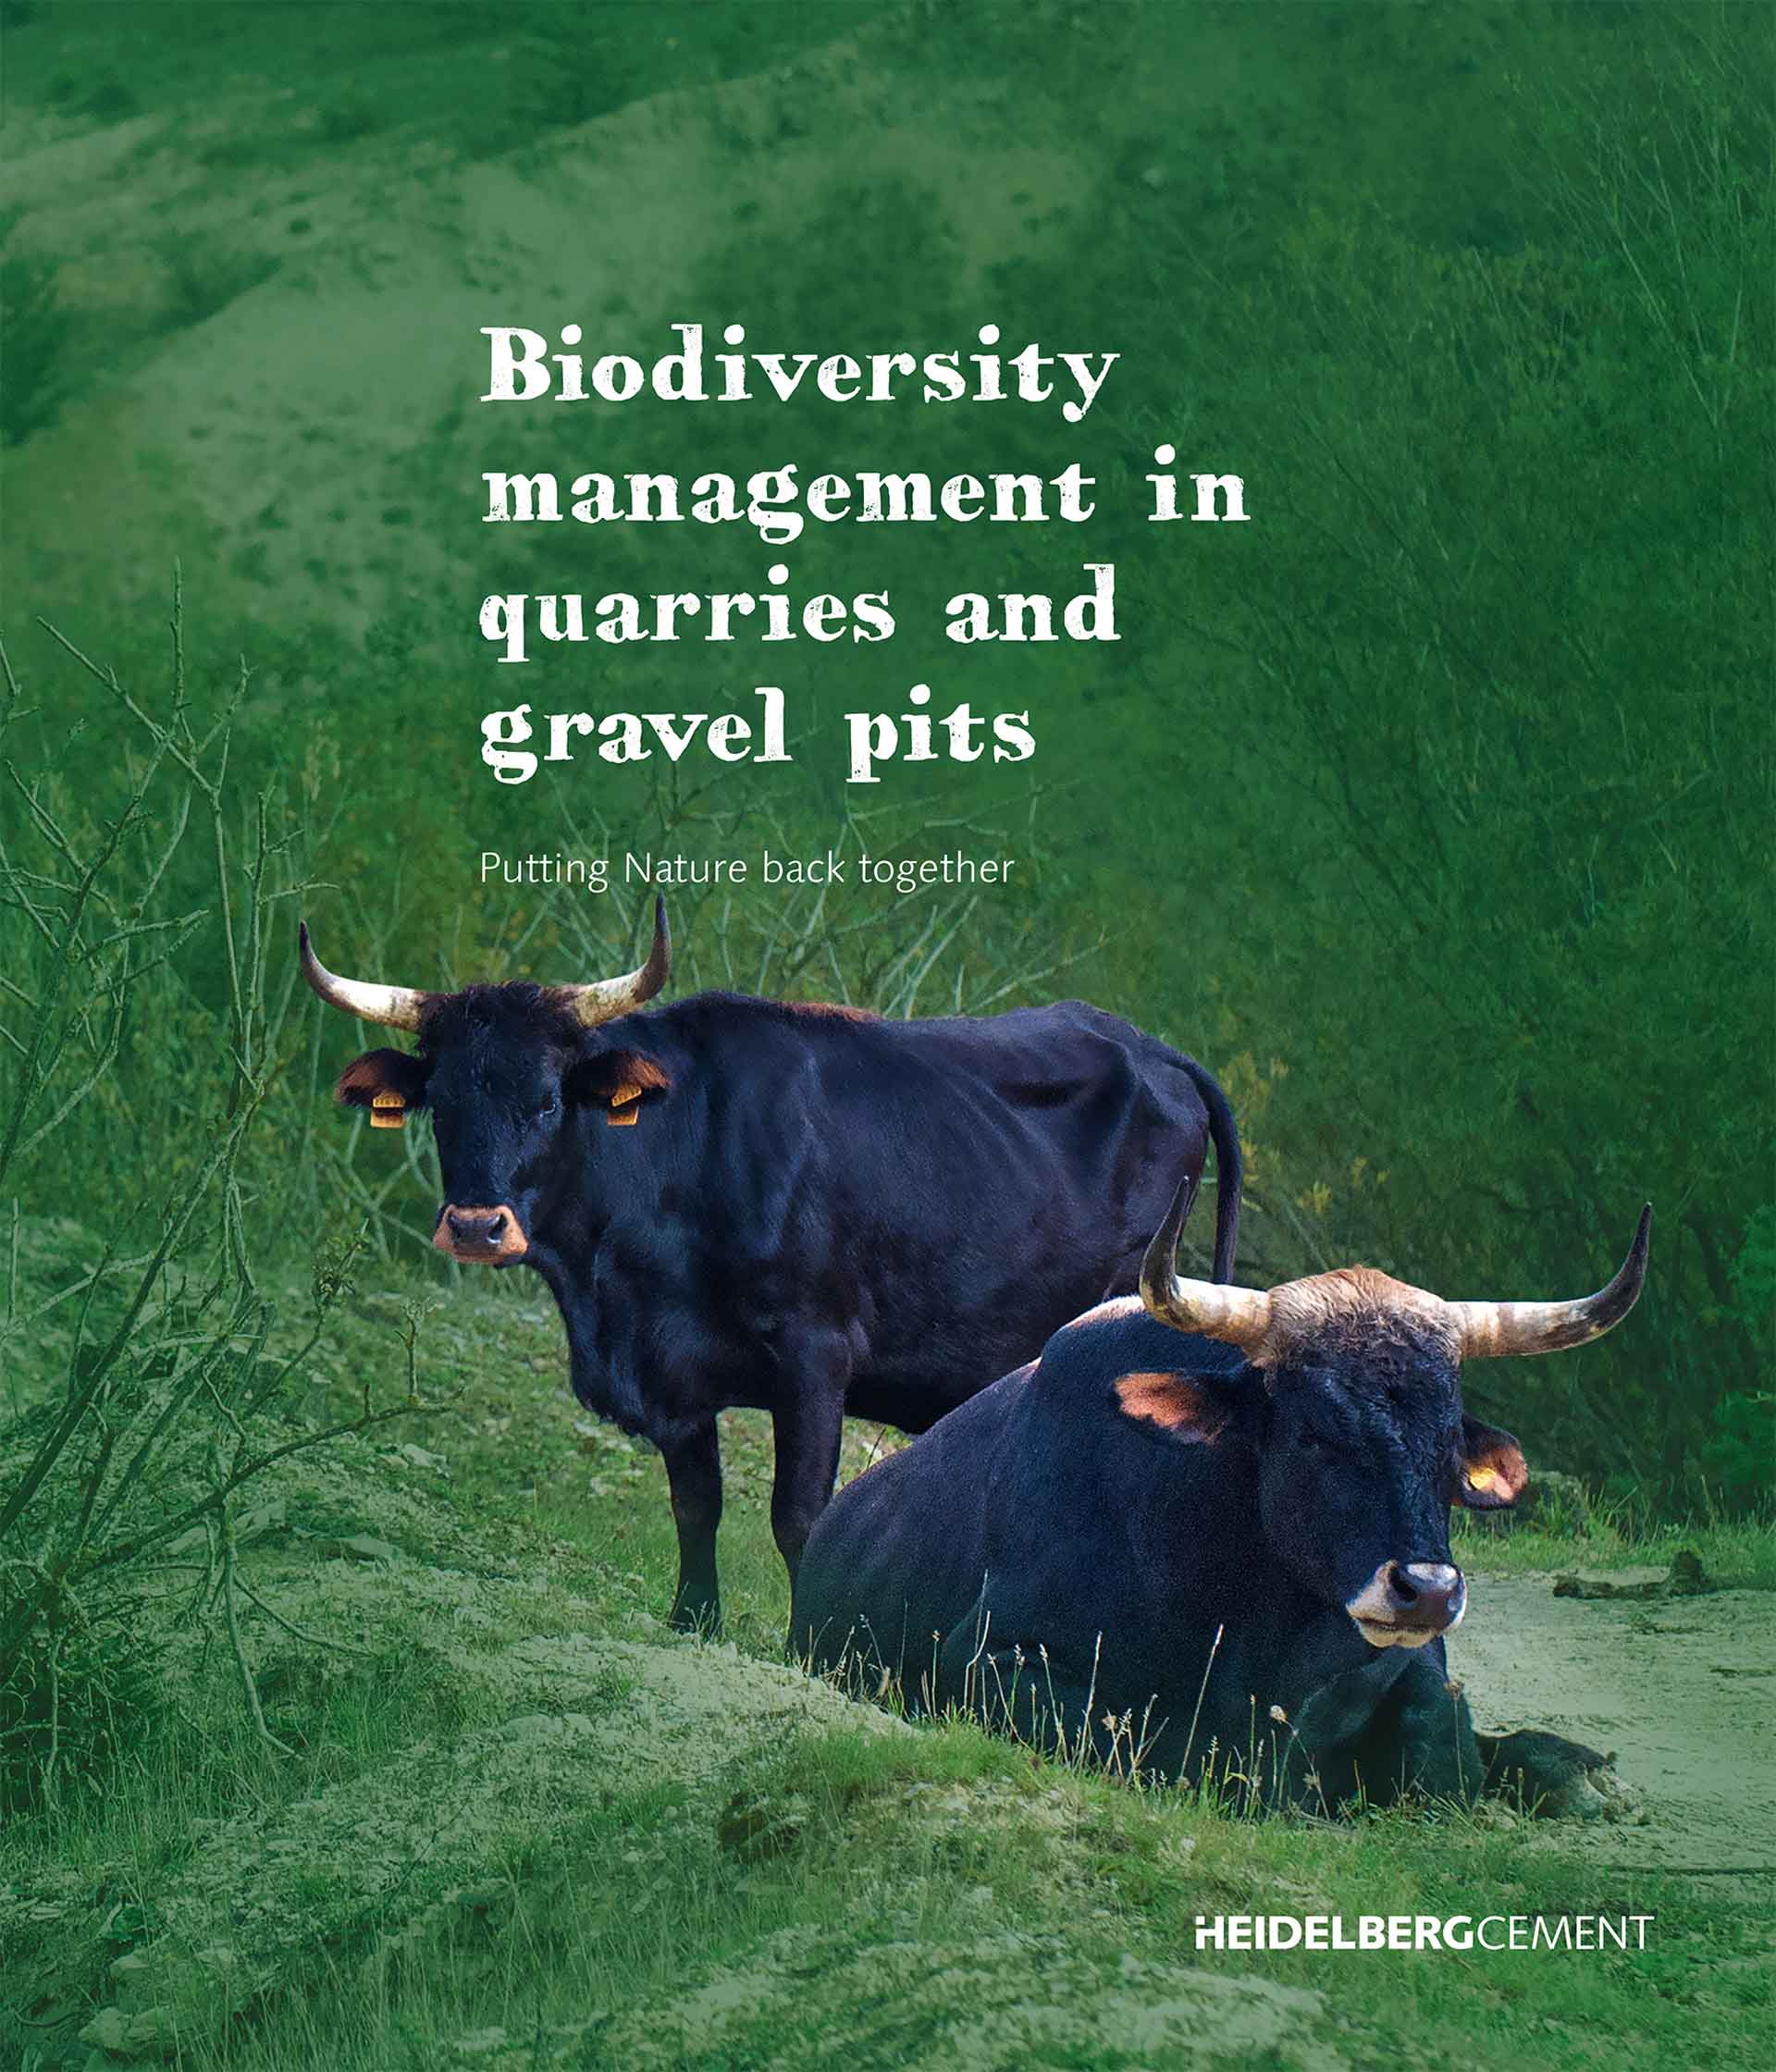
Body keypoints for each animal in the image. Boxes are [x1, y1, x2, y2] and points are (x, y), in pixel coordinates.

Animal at [298, 899, 1243, 1624]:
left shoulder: (814, 1353)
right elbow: (696, 1505)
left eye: (546, 1099)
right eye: (441, 1103)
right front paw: (693, 1623)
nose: (476, 1227)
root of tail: (1152, 1050)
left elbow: (801, 1519)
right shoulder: (675, 1377)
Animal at [791, 1177, 1649, 1807]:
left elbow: (1445, 1739)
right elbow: (1171, 1749)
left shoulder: (1412, 1670)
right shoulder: (991, 1660)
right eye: (1313, 1431)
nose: (1428, 1592)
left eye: (1447, 1440)